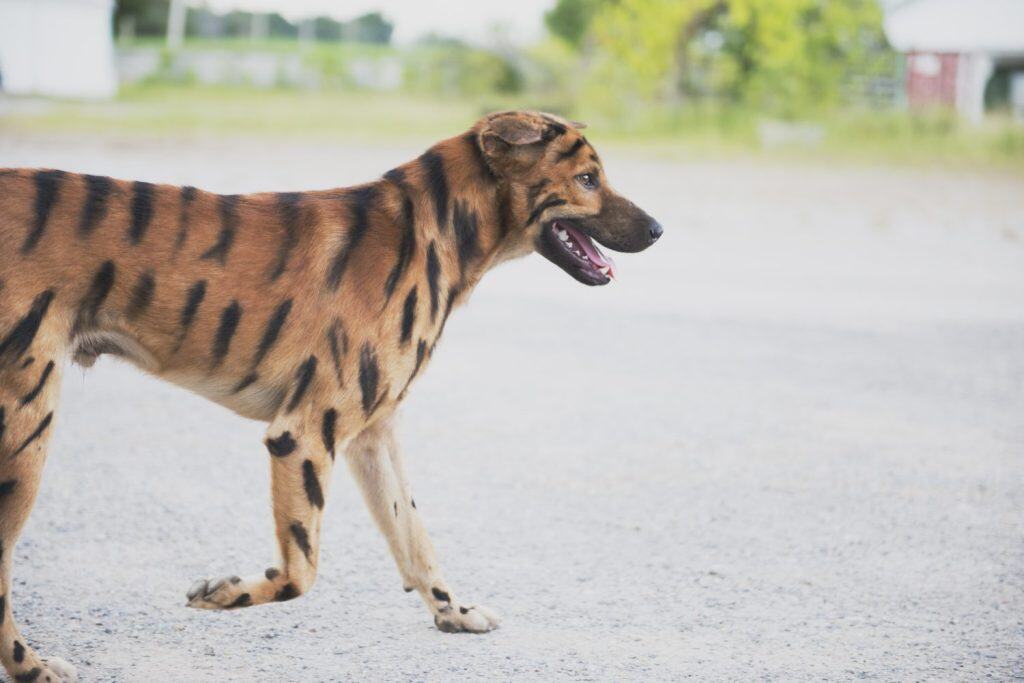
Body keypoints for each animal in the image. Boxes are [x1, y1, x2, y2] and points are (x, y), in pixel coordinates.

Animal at [0, 110, 661, 682]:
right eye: (588, 179)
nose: (658, 230)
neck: (431, 232)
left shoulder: (373, 436)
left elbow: (414, 538)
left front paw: (453, 612)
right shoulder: (302, 435)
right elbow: (301, 573)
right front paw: (225, 593)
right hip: (28, 434)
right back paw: (32, 668)